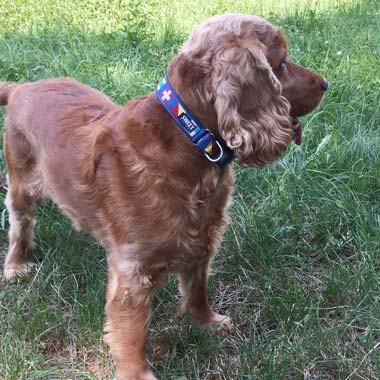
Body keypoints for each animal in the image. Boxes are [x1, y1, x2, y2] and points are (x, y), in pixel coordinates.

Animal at [0, 13, 326, 378]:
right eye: (281, 64)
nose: (326, 83)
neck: (187, 138)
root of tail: (21, 87)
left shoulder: (202, 239)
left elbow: (197, 290)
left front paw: (207, 323)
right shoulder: (132, 271)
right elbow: (131, 332)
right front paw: (136, 372)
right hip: (21, 185)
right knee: (20, 227)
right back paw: (15, 266)